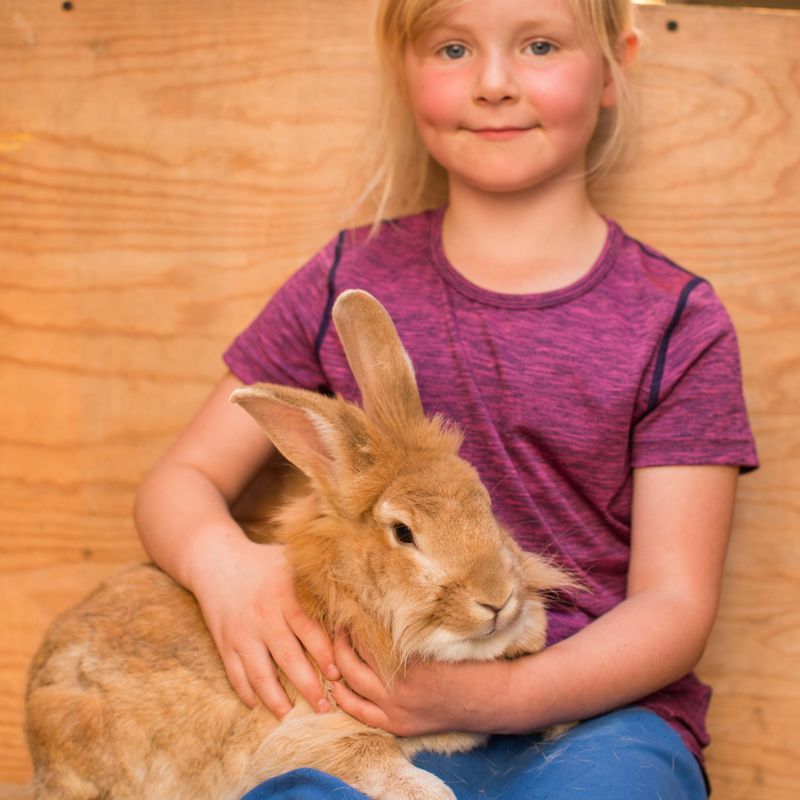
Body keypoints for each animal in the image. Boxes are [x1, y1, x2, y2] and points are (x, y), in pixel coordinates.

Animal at [25, 290, 576, 800]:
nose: (497, 598)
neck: (355, 603)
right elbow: (376, 761)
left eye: (486, 501)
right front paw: (432, 792)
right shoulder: (314, 734)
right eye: (403, 532)